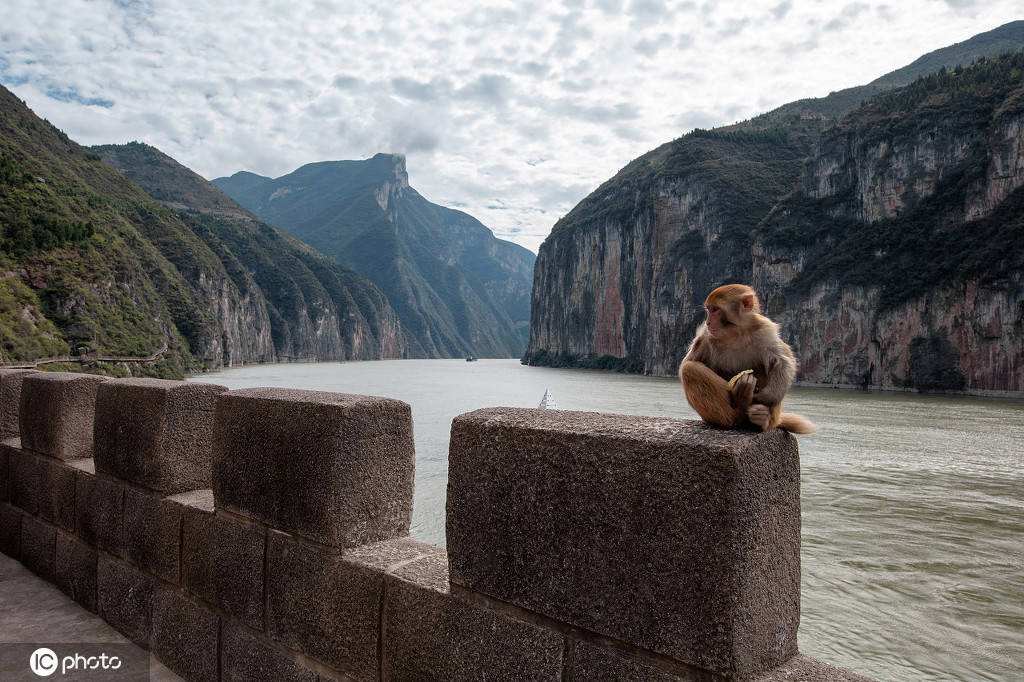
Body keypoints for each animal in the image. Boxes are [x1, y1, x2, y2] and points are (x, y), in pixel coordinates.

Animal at [679, 282, 815, 432]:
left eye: (715, 310)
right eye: (709, 310)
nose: (708, 322)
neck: (735, 333)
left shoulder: (765, 329)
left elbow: (781, 361)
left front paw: (768, 396)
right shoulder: (705, 336)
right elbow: (688, 362)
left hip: (773, 418)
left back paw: (760, 419)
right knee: (690, 369)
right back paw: (738, 408)